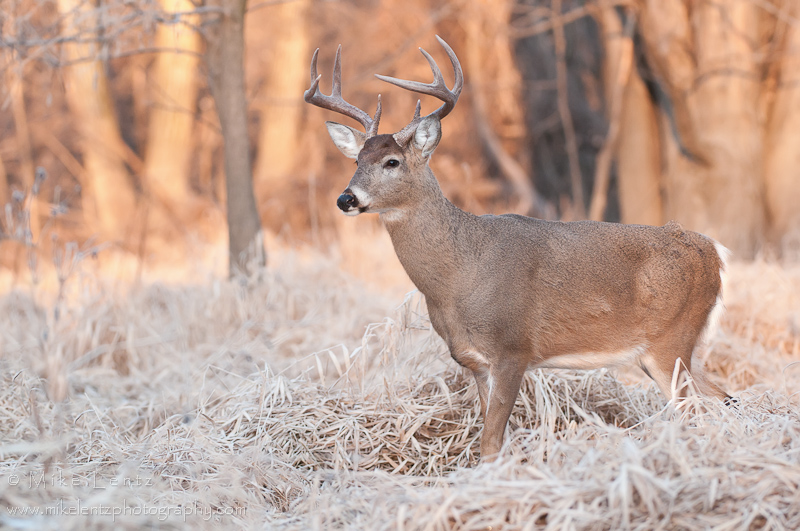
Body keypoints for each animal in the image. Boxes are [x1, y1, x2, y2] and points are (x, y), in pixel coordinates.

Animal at [304, 36, 732, 462]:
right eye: (357, 161)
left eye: (392, 162)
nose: (346, 198)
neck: (459, 276)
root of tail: (714, 253)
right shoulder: (474, 362)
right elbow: (490, 436)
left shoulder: (513, 349)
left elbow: (491, 442)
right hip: (675, 350)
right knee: (724, 398)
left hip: (671, 339)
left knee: (697, 409)